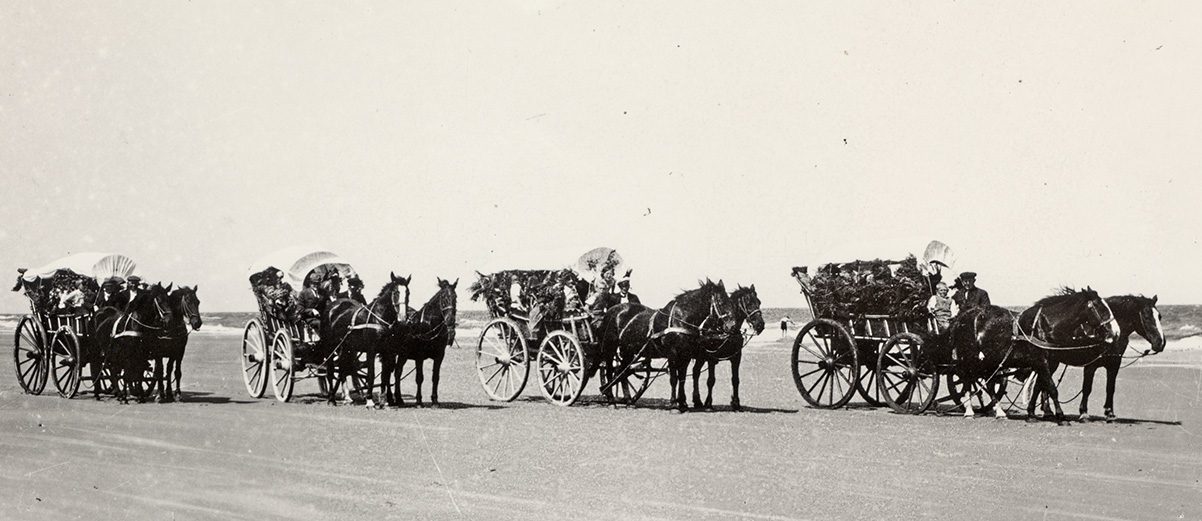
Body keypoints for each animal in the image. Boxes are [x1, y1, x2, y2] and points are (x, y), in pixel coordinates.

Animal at [384, 276, 459, 406]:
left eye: (455, 298)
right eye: (444, 298)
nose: (450, 320)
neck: (428, 325)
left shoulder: (439, 356)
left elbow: (435, 377)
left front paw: (434, 400)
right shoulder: (419, 356)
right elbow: (419, 378)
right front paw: (419, 400)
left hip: (403, 355)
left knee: (397, 372)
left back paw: (398, 398)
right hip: (392, 353)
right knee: (389, 372)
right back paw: (390, 398)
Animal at [593, 277, 735, 411]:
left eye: (730, 301)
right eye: (721, 302)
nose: (732, 326)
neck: (680, 319)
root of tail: (610, 311)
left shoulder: (685, 355)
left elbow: (682, 377)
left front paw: (683, 403)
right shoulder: (672, 354)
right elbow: (673, 379)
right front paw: (674, 405)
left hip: (628, 350)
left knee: (622, 371)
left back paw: (628, 401)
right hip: (609, 348)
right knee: (610, 371)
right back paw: (611, 400)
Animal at [947, 286, 1115, 423]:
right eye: (1100, 307)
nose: (1114, 332)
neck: (1044, 326)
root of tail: (963, 317)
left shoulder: (1049, 363)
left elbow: (1040, 386)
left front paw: (1032, 414)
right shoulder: (1041, 361)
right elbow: (1051, 388)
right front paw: (1060, 416)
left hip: (989, 359)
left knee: (987, 383)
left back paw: (999, 412)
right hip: (969, 358)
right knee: (968, 380)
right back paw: (969, 411)